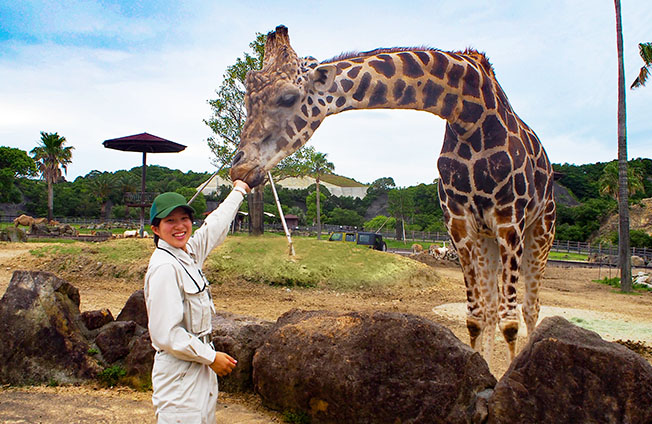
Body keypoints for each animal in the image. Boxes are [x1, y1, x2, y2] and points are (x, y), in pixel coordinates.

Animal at [229, 25, 556, 364]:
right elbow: (476, 316)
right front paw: (481, 370)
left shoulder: (509, 218)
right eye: (247, 99)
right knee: (492, 307)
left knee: (530, 308)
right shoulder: (459, 224)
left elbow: (510, 322)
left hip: (539, 229)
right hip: (487, 238)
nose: (240, 168)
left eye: (288, 97)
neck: (469, 114)